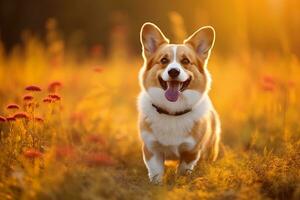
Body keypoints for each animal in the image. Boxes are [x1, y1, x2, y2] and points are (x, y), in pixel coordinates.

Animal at [138, 22, 220, 184]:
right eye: (164, 60)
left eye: (186, 61)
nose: (174, 72)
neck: (172, 111)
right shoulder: (152, 149)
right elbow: (156, 172)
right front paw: (157, 184)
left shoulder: (191, 151)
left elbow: (183, 170)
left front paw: (181, 182)